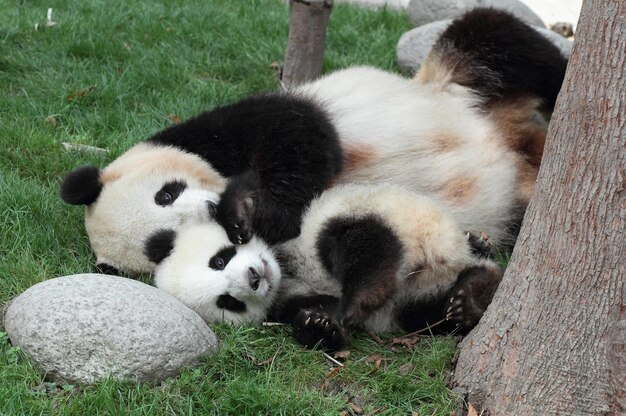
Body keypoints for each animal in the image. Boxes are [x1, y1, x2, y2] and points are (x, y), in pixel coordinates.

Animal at [59, 8, 564, 274]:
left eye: (166, 193)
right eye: (164, 245)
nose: (210, 209)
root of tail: (517, 143)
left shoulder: (220, 128)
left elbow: (301, 133)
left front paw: (250, 206)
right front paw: (247, 214)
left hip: (457, 80)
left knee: (497, 38)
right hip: (512, 205)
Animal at [144, 184, 500, 350]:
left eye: (219, 260)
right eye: (228, 302)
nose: (254, 277)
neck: (284, 269)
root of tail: (442, 255)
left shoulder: (290, 220)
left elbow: (270, 208)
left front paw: (237, 218)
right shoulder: (285, 300)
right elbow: (308, 310)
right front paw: (319, 325)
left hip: (392, 215)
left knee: (352, 243)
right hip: (417, 293)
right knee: (424, 309)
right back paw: (469, 298)